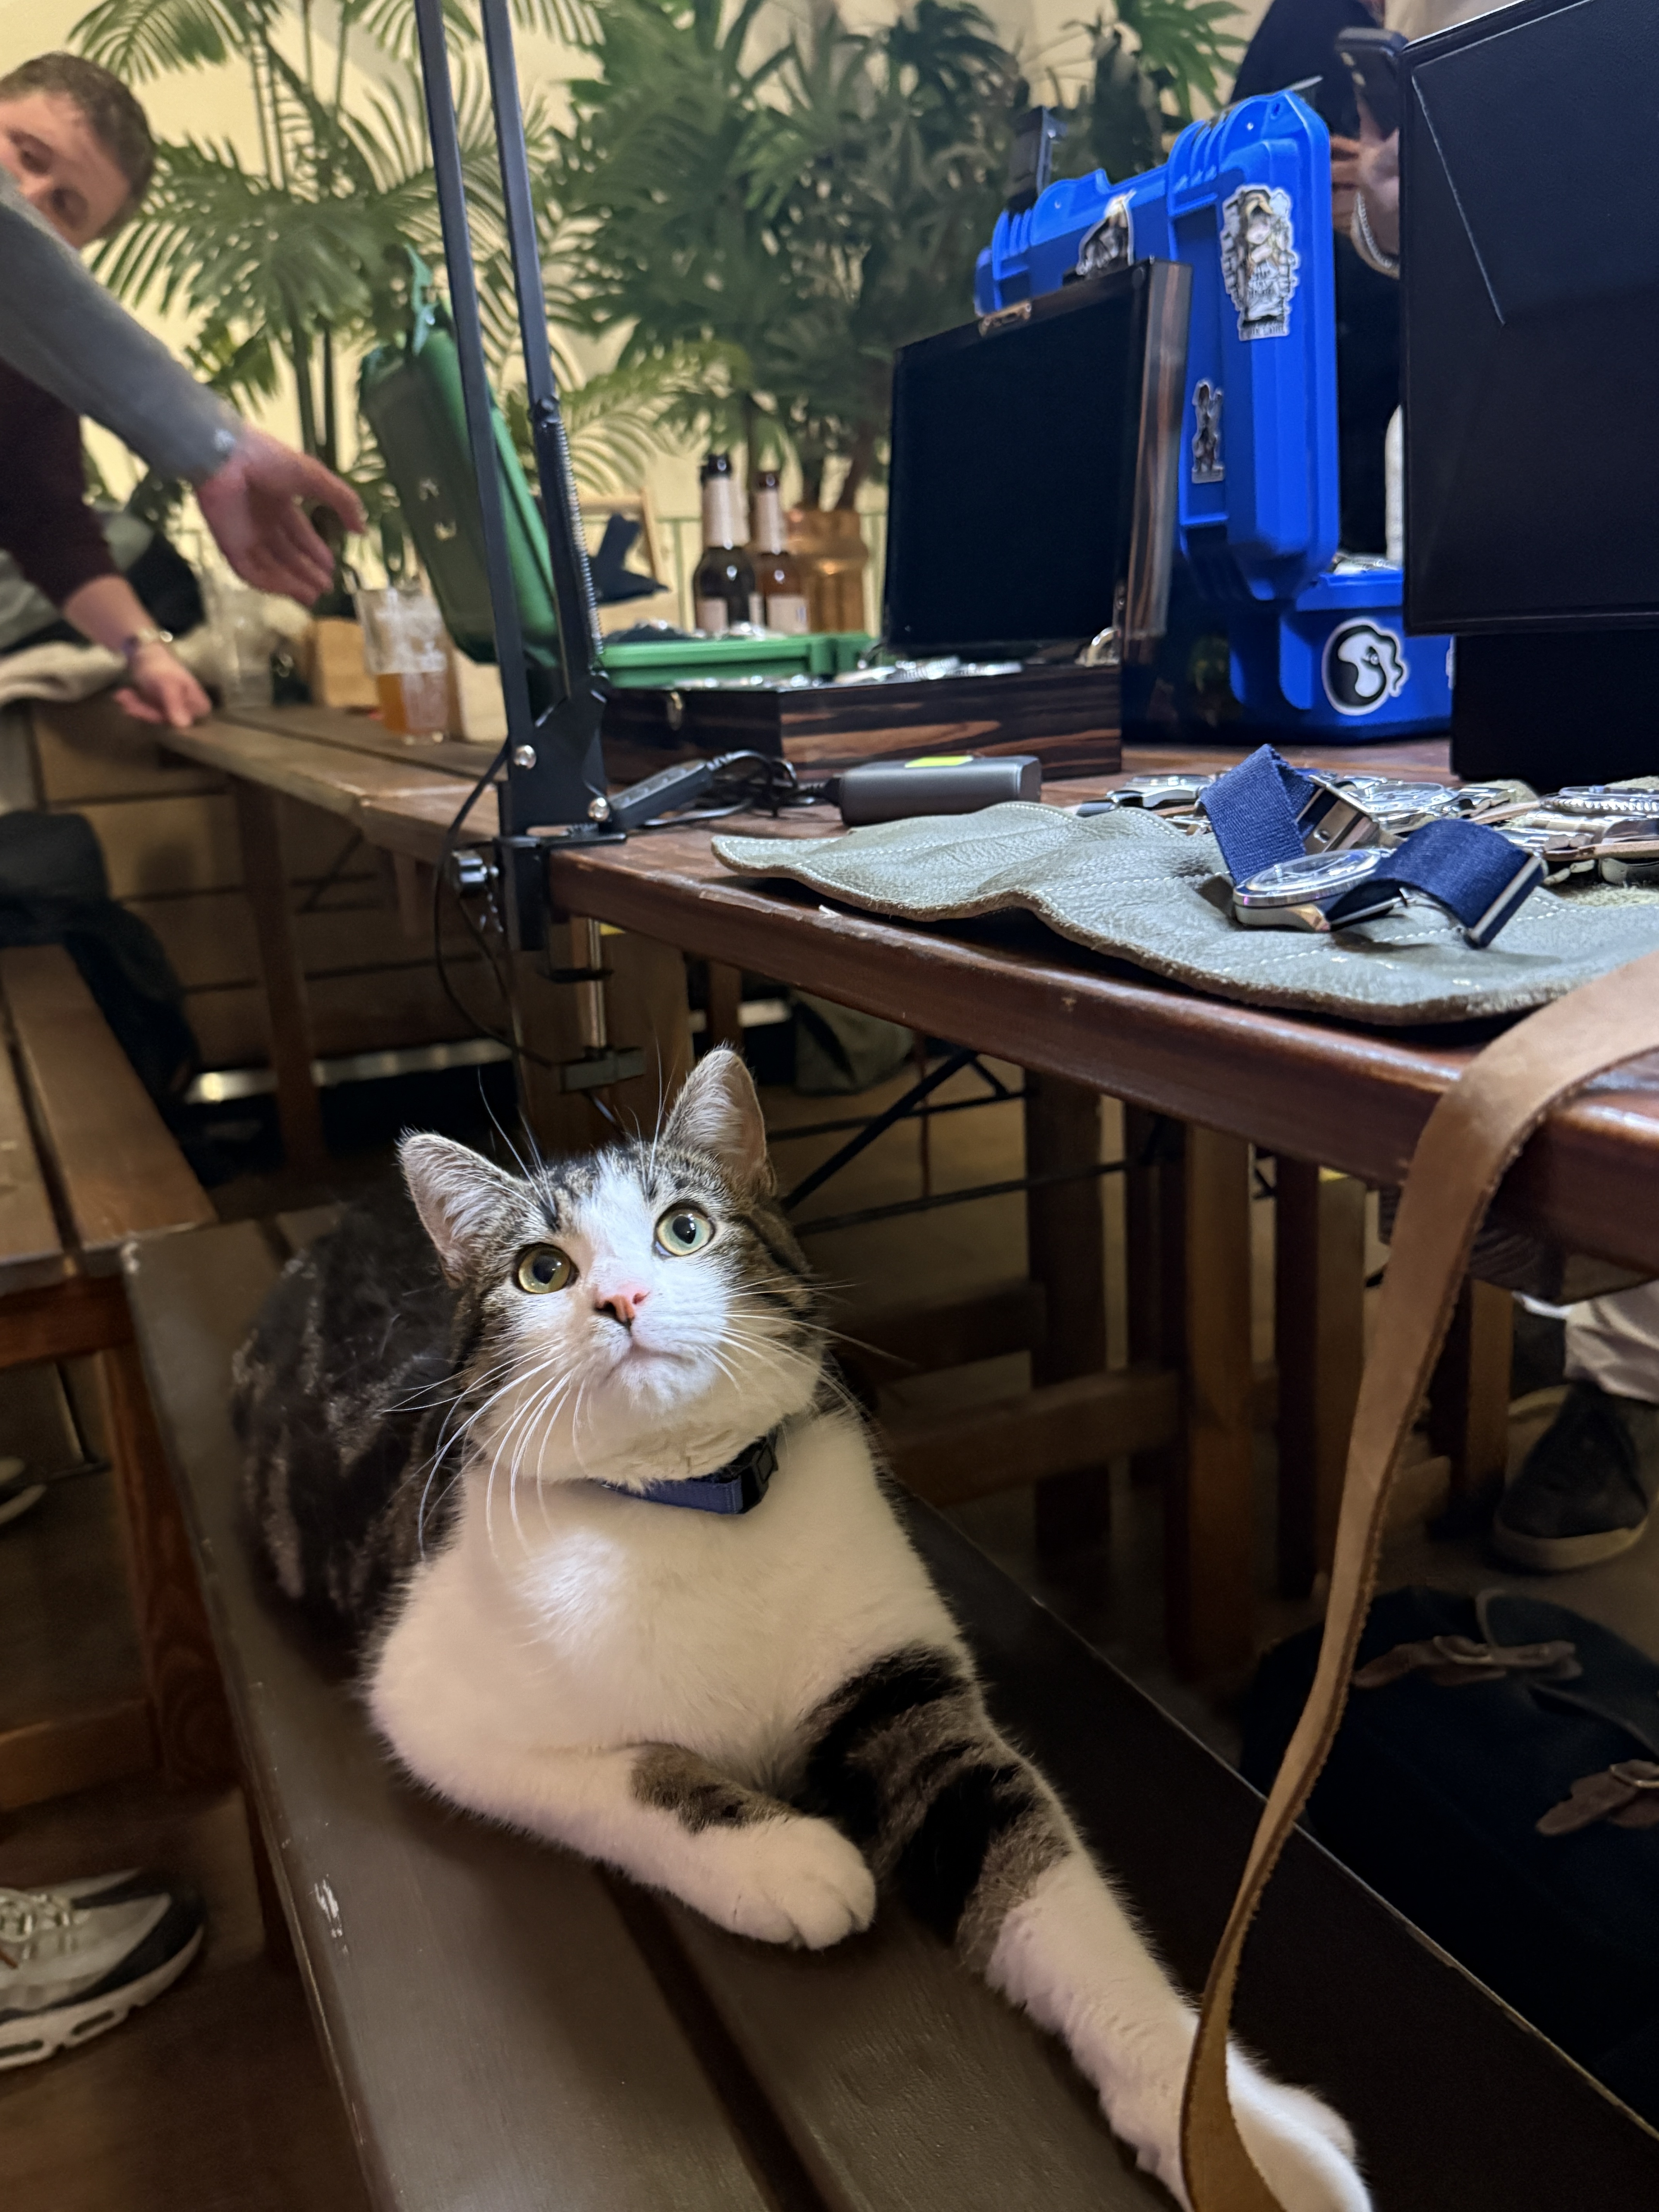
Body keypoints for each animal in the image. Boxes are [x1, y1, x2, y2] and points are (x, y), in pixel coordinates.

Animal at [234, 1047, 1368, 2212]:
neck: (694, 1507)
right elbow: (633, 1767)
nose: (621, 1298)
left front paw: (1231, 2134)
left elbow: (1042, 1879)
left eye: (686, 1228)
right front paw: (786, 1860)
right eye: (541, 1272)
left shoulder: (902, 1691)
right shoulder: (428, 1701)